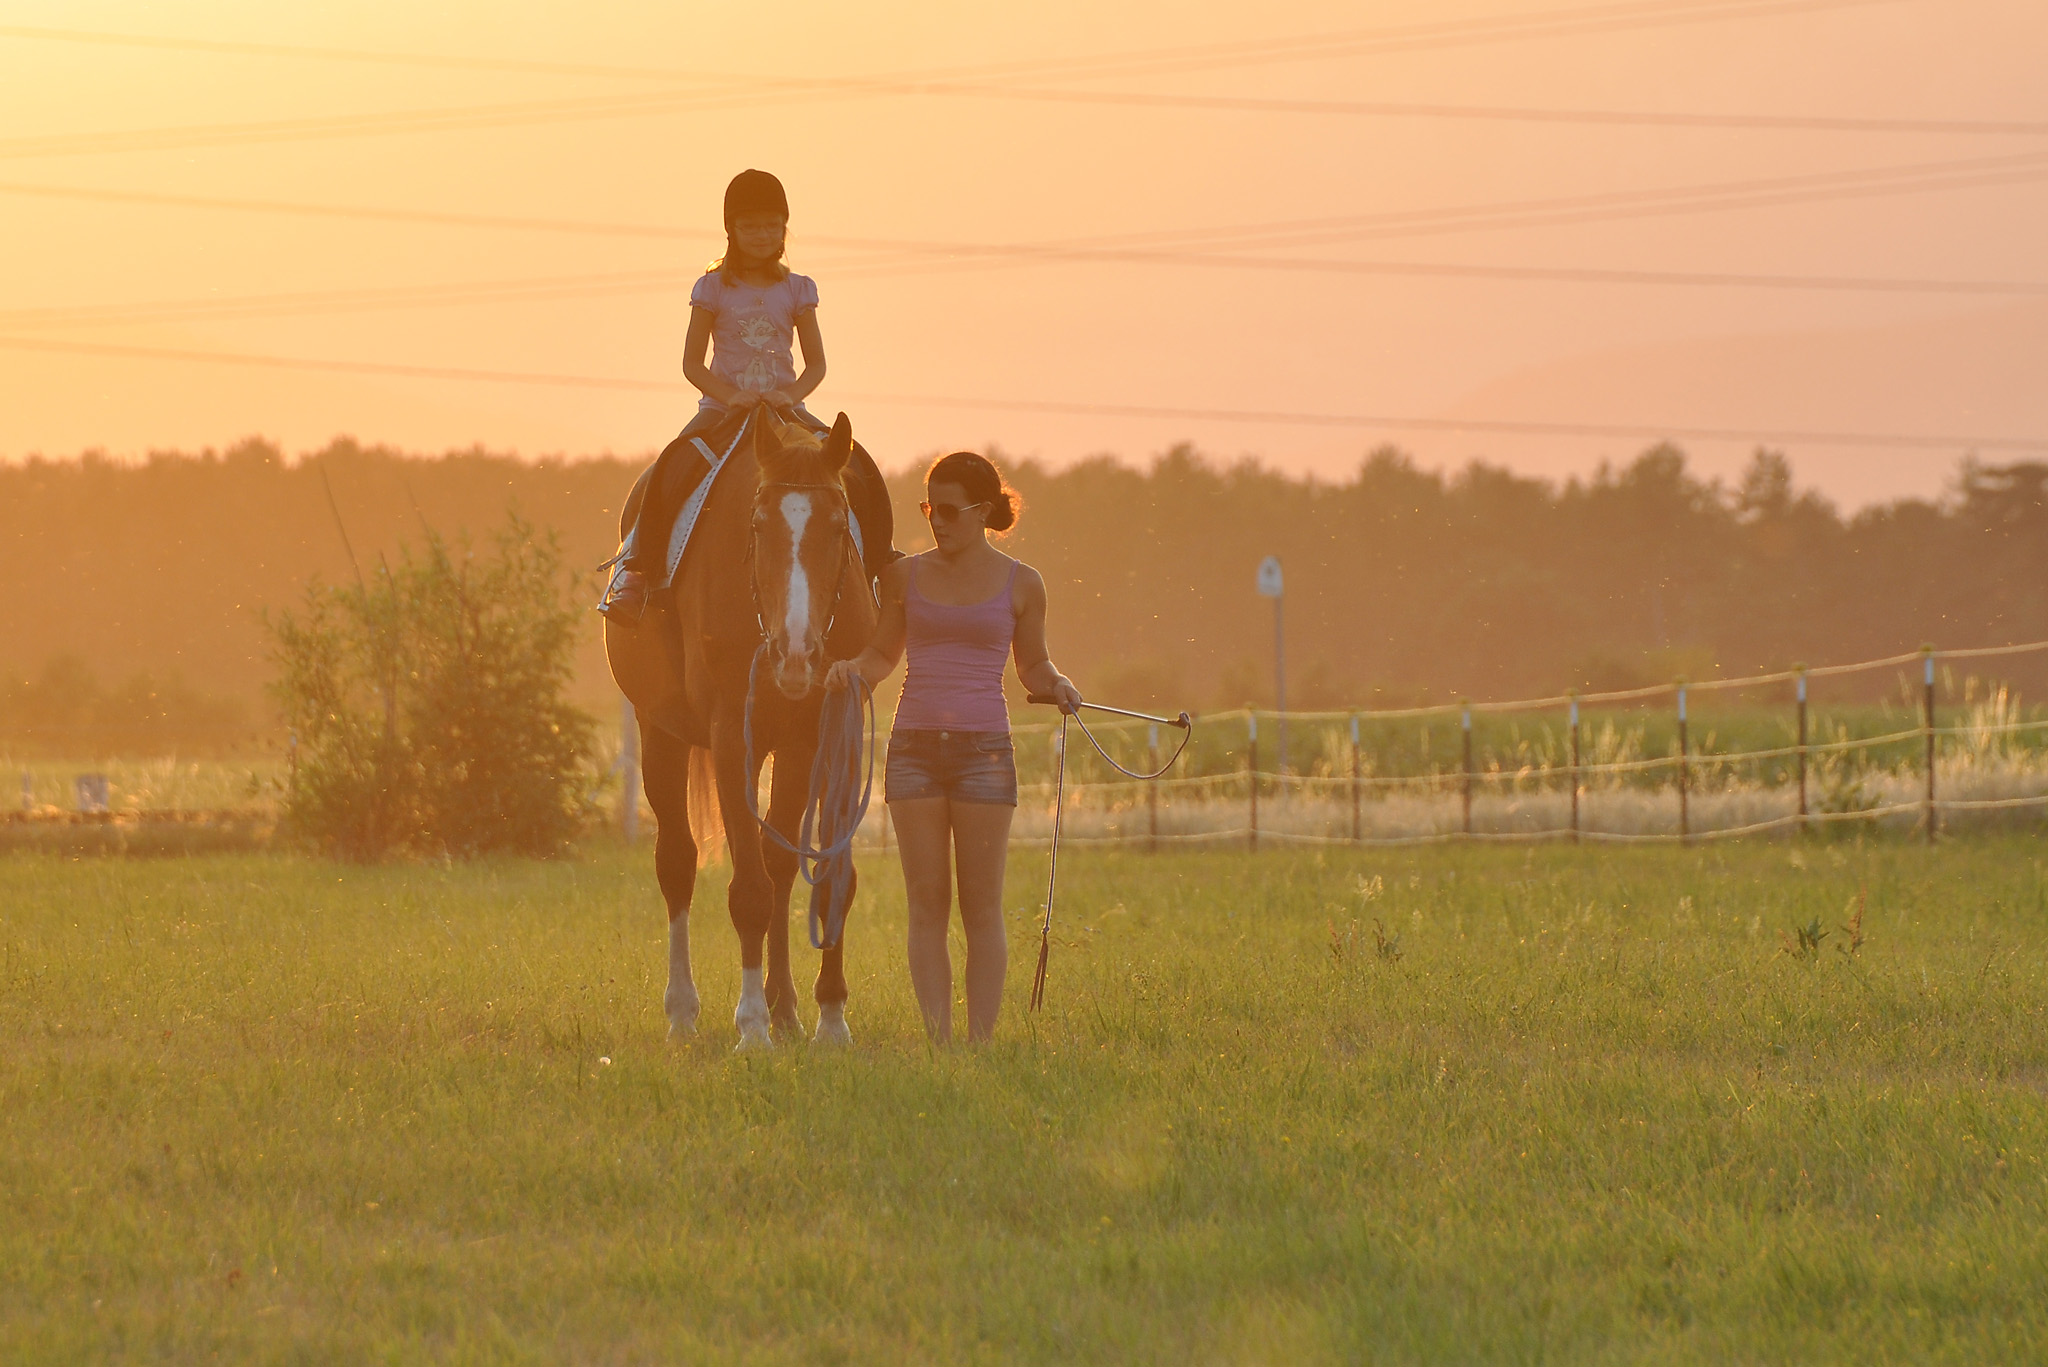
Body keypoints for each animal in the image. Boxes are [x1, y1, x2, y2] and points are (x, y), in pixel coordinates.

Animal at [598, 411, 876, 1057]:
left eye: (837, 526)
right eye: (758, 524)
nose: (796, 654)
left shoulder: (816, 739)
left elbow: (814, 875)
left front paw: (826, 1019)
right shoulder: (730, 741)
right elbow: (747, 891)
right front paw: (751, 1027)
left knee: (777, 865)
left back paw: (785, 1010)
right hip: (660, 735)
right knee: (677, 863)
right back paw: (683, 1012)